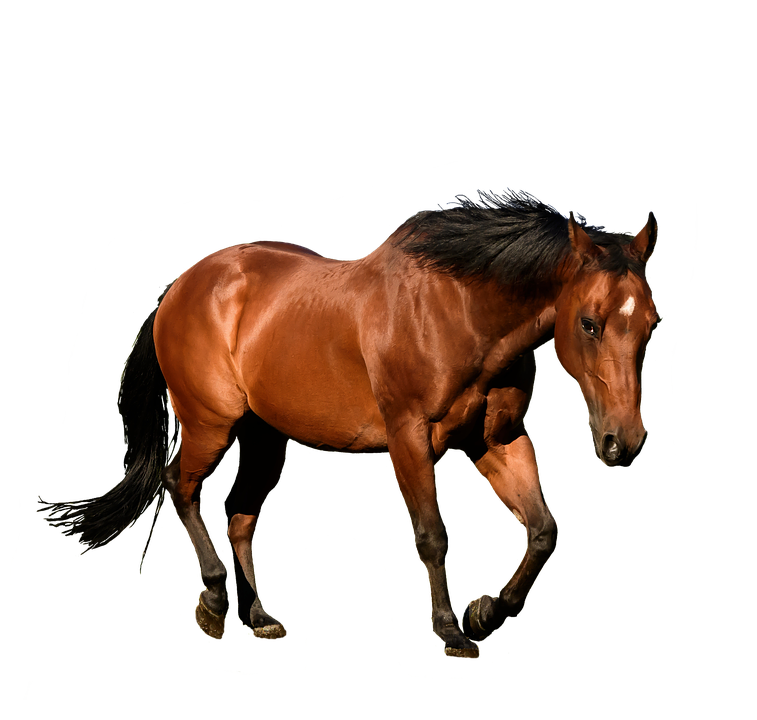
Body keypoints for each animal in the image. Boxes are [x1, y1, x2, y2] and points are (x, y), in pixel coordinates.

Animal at [40, 188, 661, 659]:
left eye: (651, 321)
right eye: (589, 322)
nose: (622, 442)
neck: (459, 310)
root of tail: (181, 286)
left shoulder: (496, 441)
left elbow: (541, 531)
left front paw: (485, 612)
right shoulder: (409, 438)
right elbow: (432, 534)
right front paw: (451, 631)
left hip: (266, 438)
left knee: (240, 516)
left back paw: (259, 615)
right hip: (207, 425)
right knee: (179, 488)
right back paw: (213, 605)